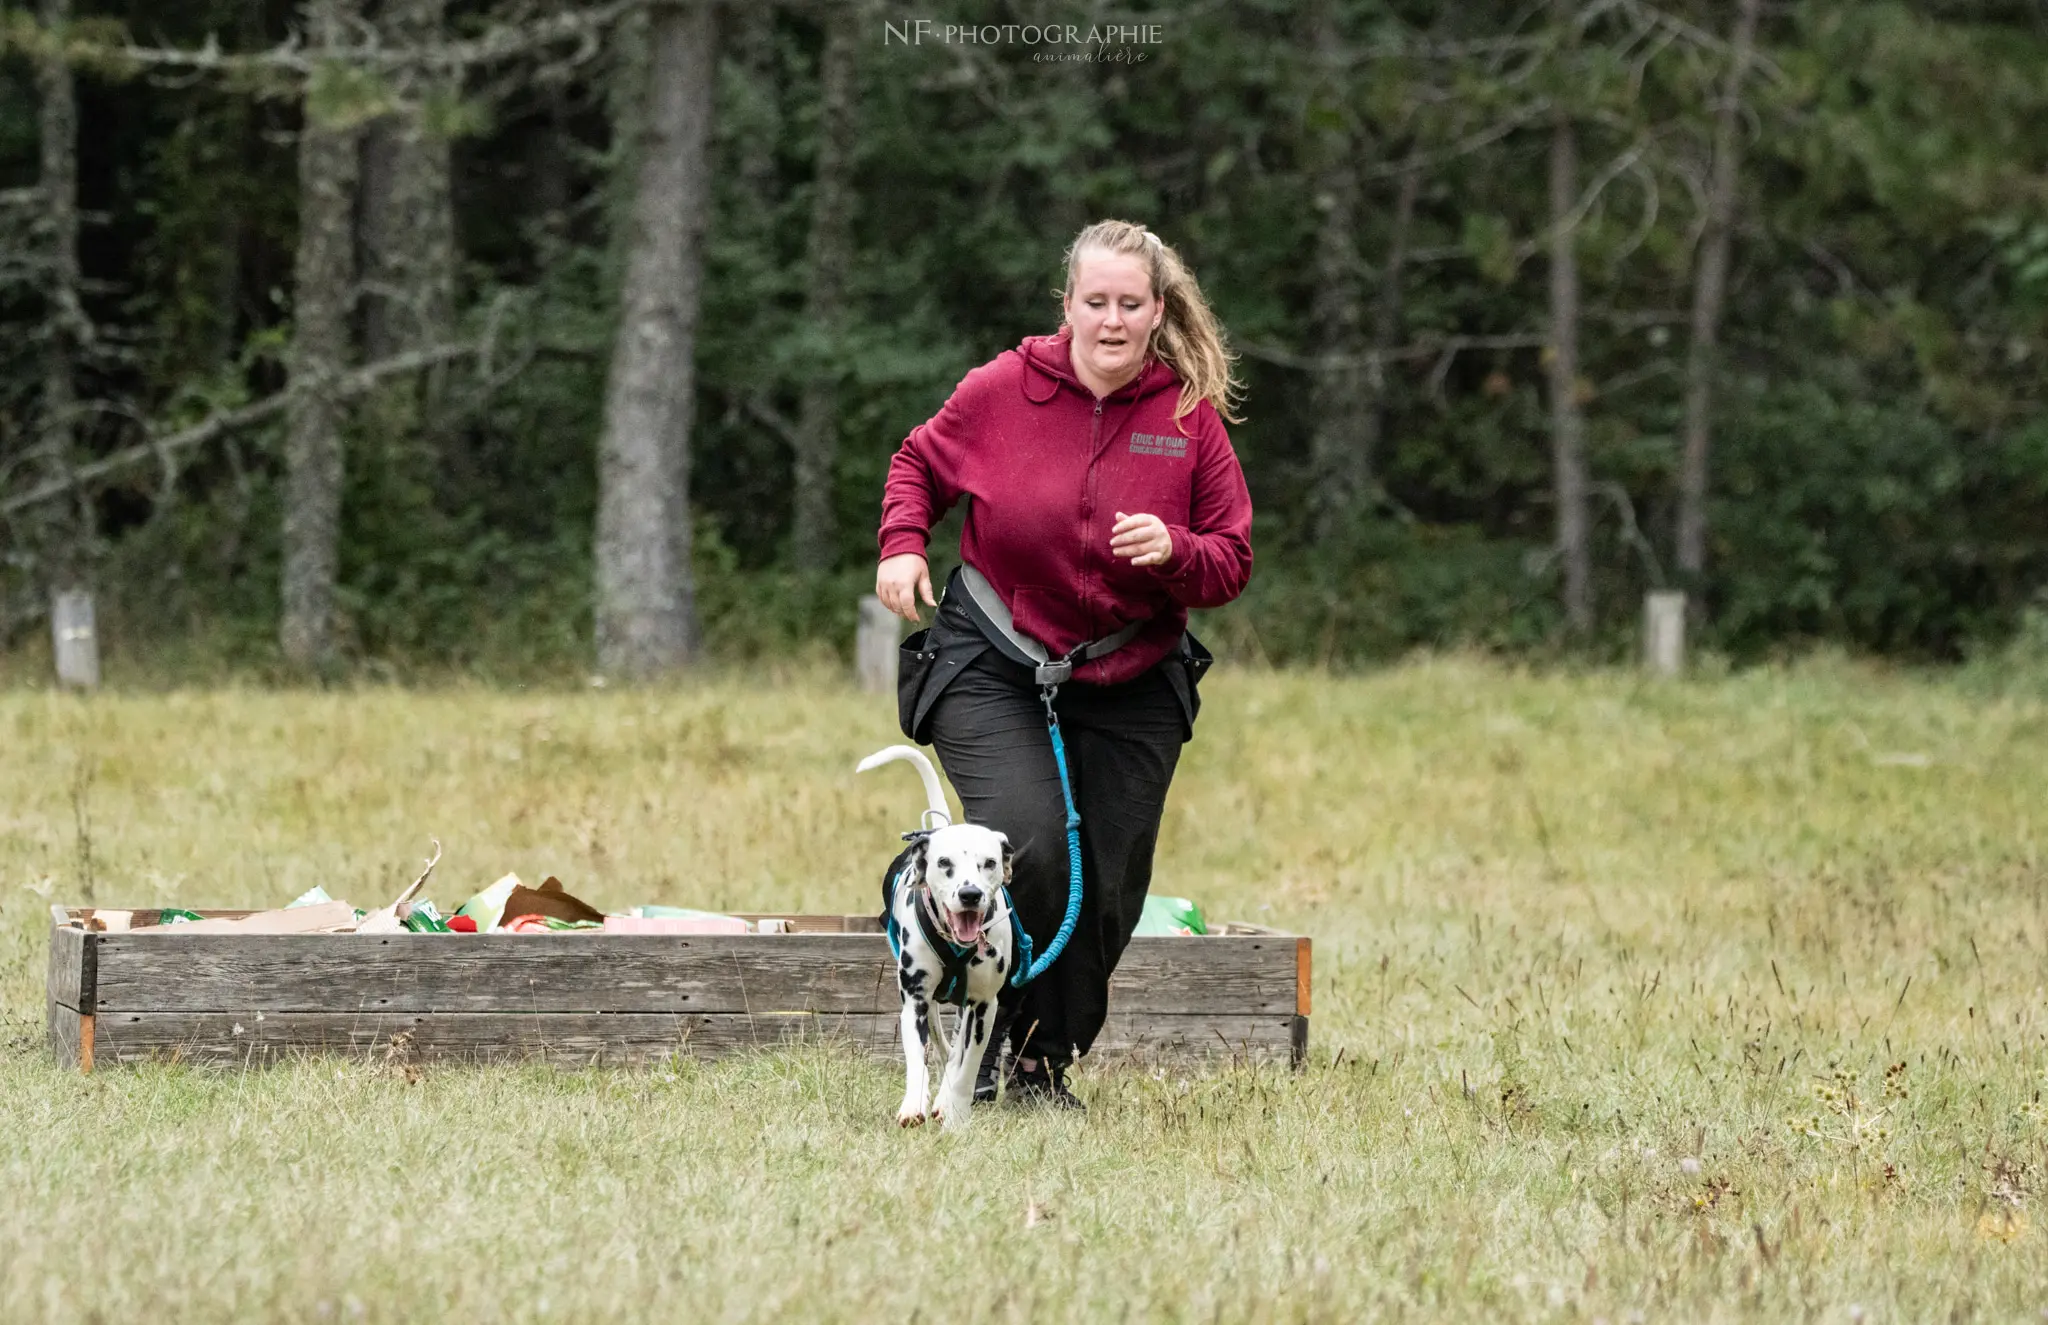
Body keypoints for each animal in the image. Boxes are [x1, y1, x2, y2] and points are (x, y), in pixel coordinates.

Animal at [856, 745, 1015, 1130]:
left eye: (990, 862)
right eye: (944, 862)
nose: (970, 894)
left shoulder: (983, 1007)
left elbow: (967, 1065)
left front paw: (955, 1113)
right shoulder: (915, 1001)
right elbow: (919, 1058)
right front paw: (914, 1103)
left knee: (955, 1053)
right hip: (926, 1005)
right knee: (940, 1046)